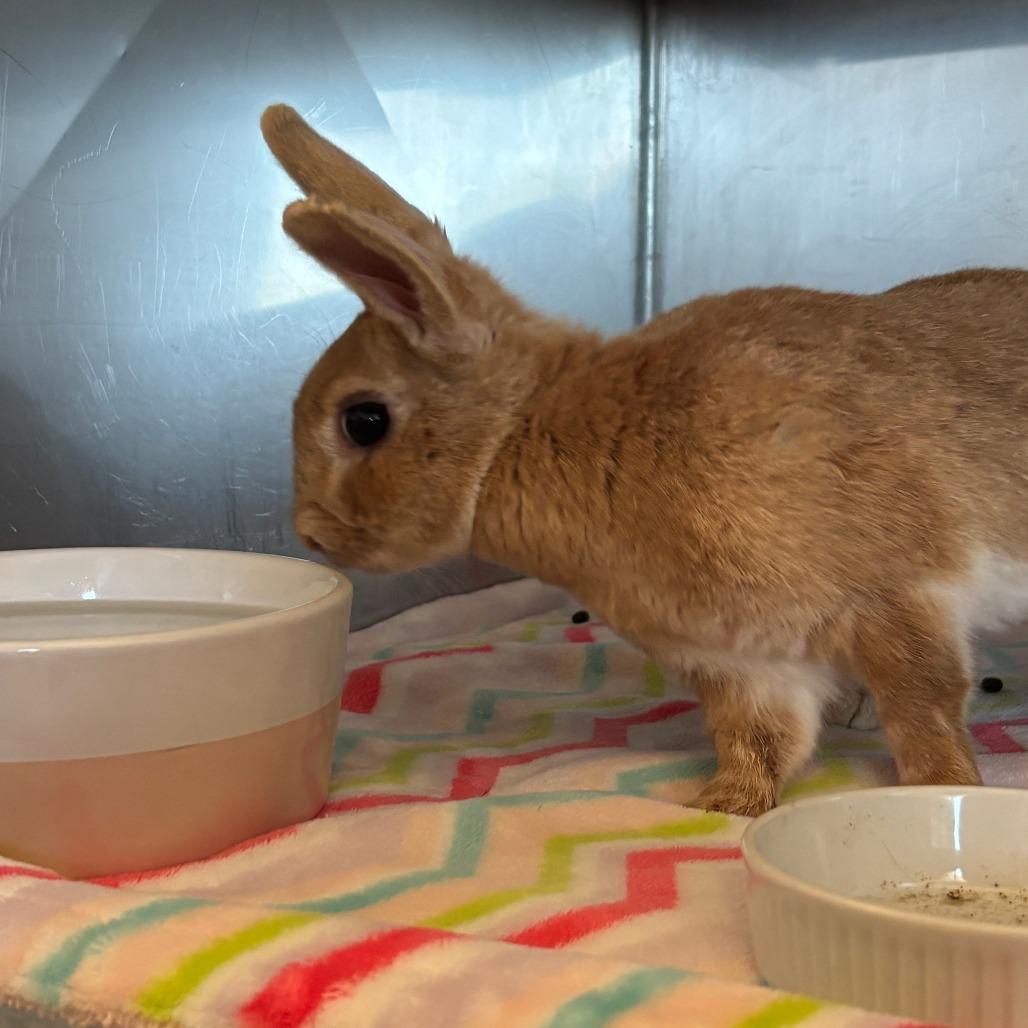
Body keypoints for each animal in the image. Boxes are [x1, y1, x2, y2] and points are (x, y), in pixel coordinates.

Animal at [261, 103, 1028, 817]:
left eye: (363, 420)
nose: (313, 535)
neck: (523, 429)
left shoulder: (893, 598)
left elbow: (923, 708)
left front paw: (945, 790)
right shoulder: (746, 665)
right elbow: (760, 742)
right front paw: (719, 809)